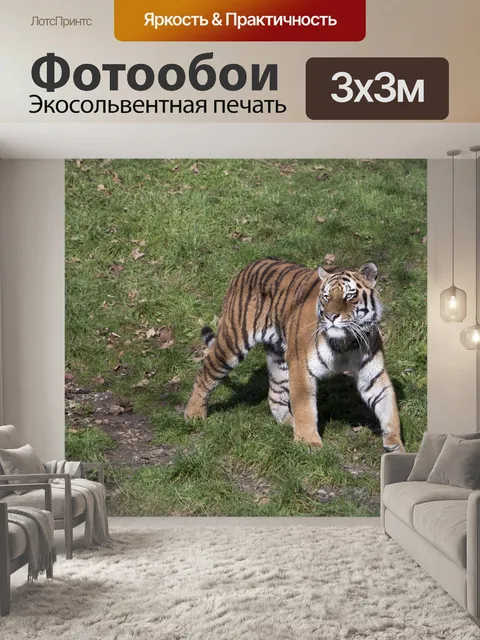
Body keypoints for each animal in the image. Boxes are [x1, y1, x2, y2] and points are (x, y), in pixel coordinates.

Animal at [184, 257, 404, 453]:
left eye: (349, 296)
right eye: (326, 297)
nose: (330, 316)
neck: (346, 342)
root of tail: (249, 265)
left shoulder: (372, 374)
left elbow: (388, 406)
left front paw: (396, 444)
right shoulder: (301, 366)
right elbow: (305, 408)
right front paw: (309, 443)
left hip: (280, 357)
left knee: (275, 394)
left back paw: (289, 424)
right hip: (233, 342)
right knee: (206, 372)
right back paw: (194, 414)